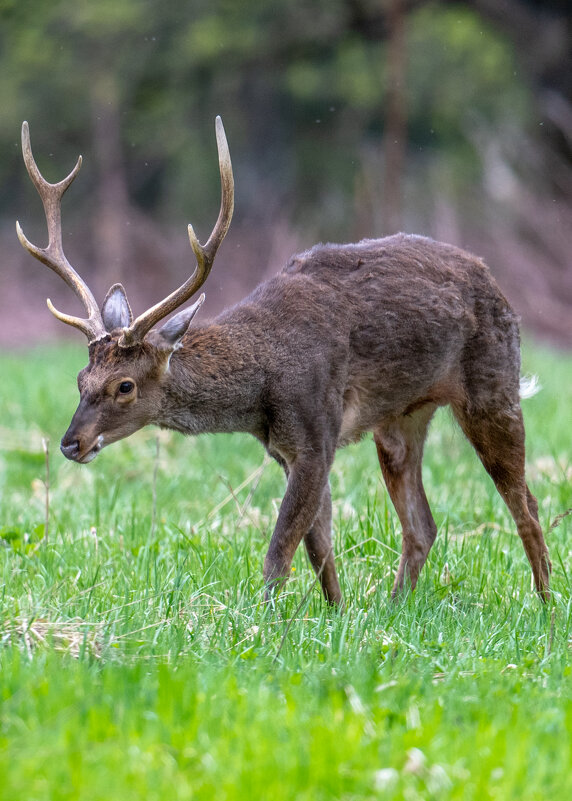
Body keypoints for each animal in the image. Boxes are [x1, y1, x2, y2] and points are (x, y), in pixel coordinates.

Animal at [17, 118, 551, 607]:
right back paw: (395, 606)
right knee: (423, 524)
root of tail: (495, 282)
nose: (70, 443)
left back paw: (545, 606)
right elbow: (319, 548)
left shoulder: (317, 433)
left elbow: (280, 550)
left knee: (526, 504)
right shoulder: (286, 449)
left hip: (494, 387)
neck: (264, 382)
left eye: (124, 386)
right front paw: (338, 614)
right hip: (400, 419)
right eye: (81, 378)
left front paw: (262, 622)